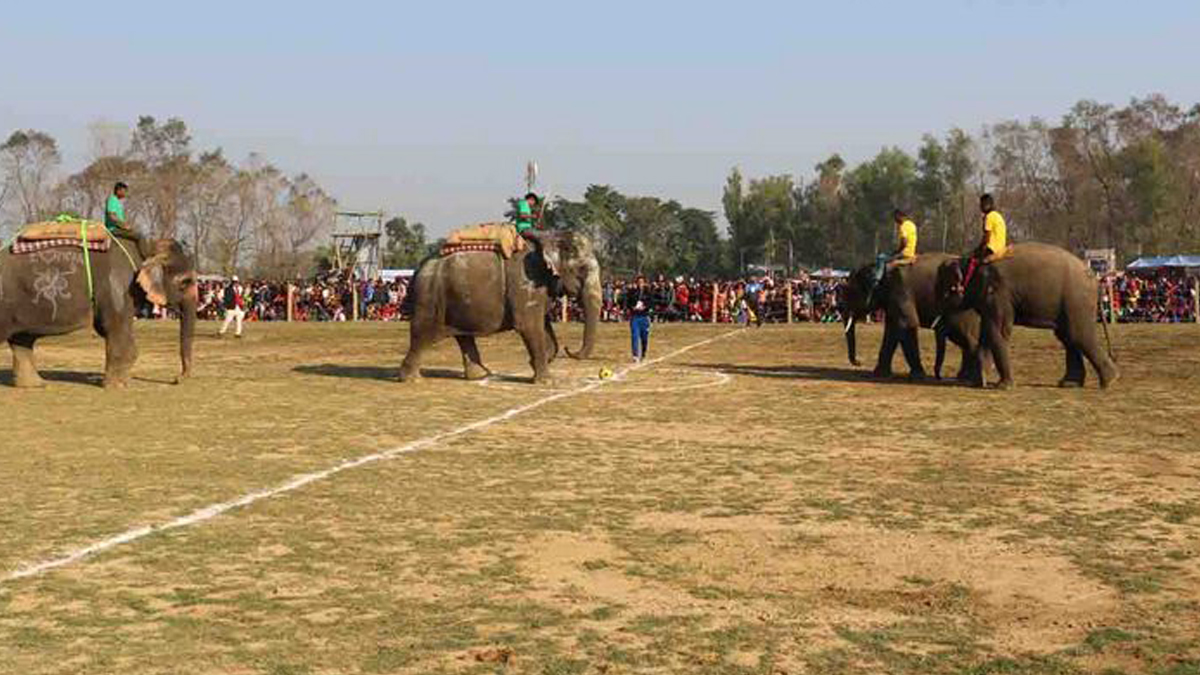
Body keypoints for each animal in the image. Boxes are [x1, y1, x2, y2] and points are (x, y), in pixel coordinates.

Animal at [0, 234, 196, 386]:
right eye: (185, 282)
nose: (177, 379)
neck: (145, 247)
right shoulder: (118, 285)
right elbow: (114, 327)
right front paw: (116, 386)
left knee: (22, 341)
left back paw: (37, 385)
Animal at [398, 228, 600, 381]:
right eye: (583, 269)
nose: (569, 349)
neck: (551, 237)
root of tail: (419, 268)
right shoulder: (525, 283)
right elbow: (529, 326)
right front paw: (546, 381)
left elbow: (544, 326)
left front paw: (535, 364)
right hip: (430, 297)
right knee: (422, 335)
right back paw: (411, 378)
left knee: (462, 335)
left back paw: (481, 375)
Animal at [844, 251, 984, 381]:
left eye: (852, 293)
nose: (858, 362)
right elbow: (892, 330)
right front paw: (880, 374)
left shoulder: (901, 289)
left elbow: (907, 324)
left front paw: (918, 376)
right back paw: (964, 376)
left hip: (962, 310)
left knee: (965, 336)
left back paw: (968, 377)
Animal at [931, 241, 1118, 389]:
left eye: (942, 287)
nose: (939, 378)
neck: (969, 260)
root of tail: (1096, 279)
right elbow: (987, 331)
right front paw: (979, 381)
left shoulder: (998, 292)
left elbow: (998, 330)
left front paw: (1003, 386)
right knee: (1067, 336)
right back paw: (1070, 383)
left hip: (1077, 300)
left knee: (1077, 334)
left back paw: (1109, 381)